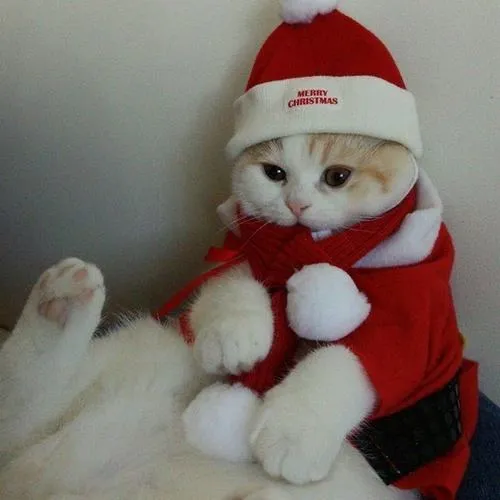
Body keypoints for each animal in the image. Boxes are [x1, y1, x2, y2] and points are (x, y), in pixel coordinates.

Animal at [0, 134, 421, 500]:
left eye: (337, 177)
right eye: (275, 173)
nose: (297, 205)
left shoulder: (401, 326)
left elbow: (350, 358)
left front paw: (297, 427)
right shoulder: (233, 264)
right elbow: (230, 289)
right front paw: (234, 336)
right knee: (22, 394)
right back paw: (60, 303)